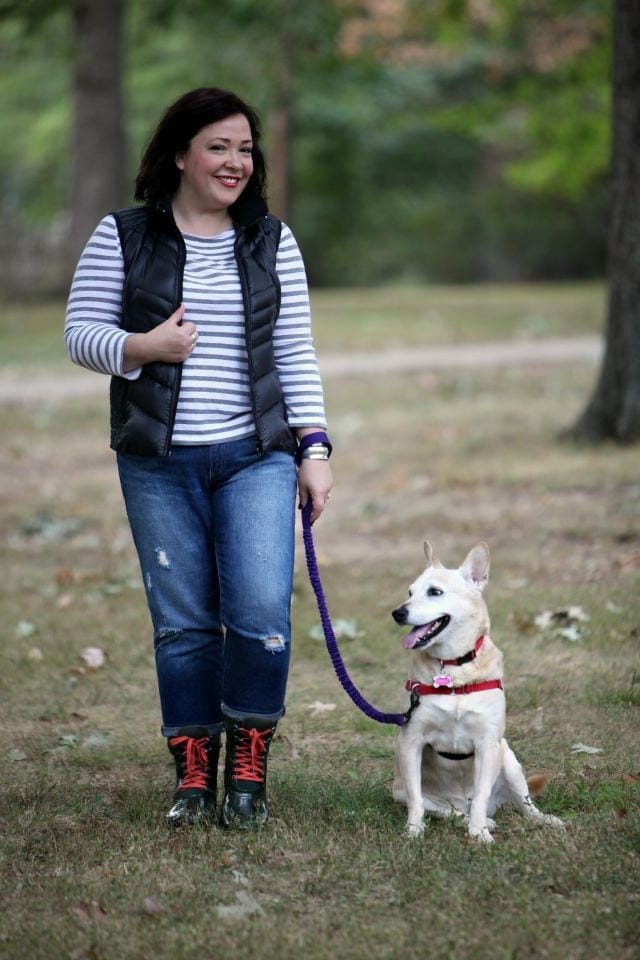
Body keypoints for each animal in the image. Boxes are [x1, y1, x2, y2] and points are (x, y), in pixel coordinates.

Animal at [392, 544, 564, 844]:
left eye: (435, 592)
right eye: (410, 592)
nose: (397, 613)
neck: (452, 667)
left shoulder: (488, 743)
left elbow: (482, 795)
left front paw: (479, 833)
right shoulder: (410, 741)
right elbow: (416, 799)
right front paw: (414, 831)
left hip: (509, 760)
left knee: (523, 802)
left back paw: (538, 819)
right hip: (402, 789)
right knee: (445, 811)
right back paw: (468, 818)